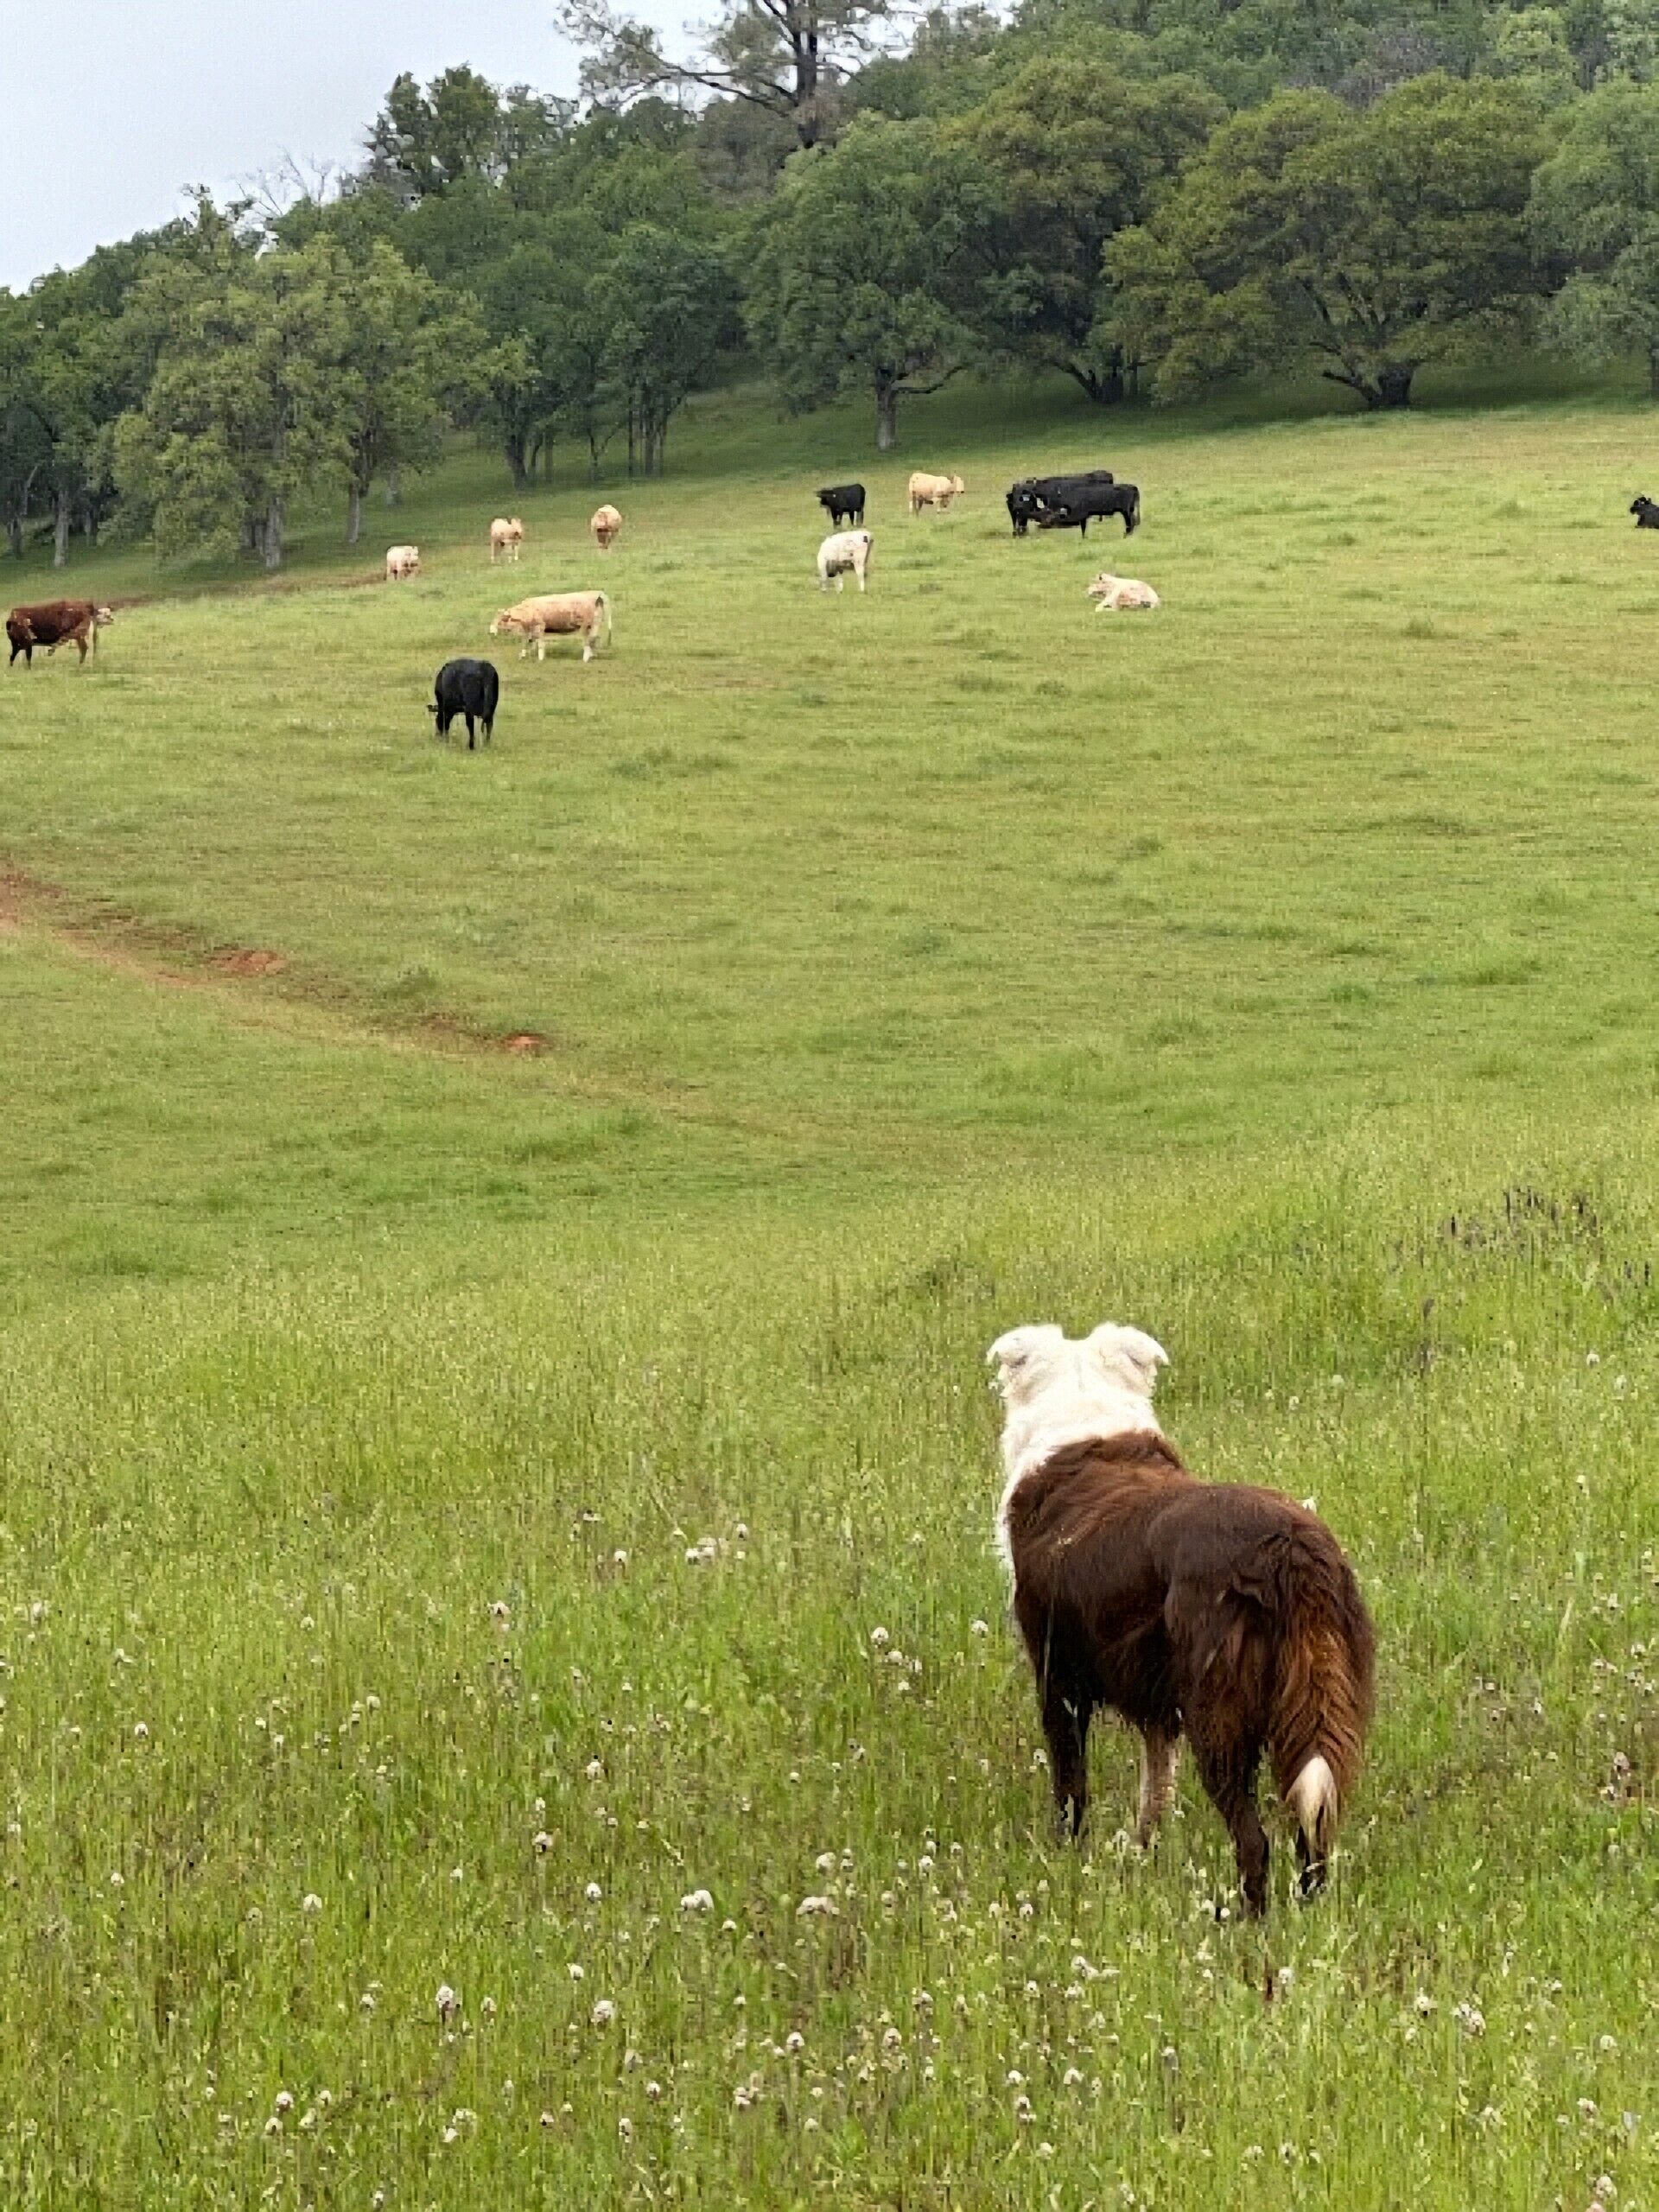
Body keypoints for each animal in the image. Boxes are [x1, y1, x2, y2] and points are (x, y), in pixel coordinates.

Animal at [489, 591, 612, 663]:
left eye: (500, 621)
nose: (491, 632)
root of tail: (596, 594)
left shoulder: (539, 627)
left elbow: (540, 644)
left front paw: (540, 658)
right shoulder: (530, 630)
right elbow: (527, 642)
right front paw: (523, 655)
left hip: (586, 626)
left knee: (589, 640)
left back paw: (586, 658)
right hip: (595, 625)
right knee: (595, 639)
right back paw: (592, 655)